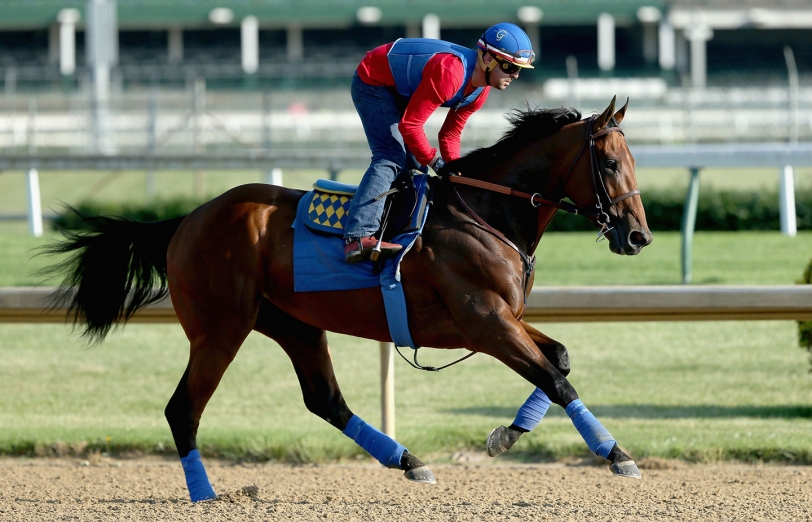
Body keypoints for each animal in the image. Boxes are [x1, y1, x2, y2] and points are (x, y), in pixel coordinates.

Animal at [41, 96, 652, 500]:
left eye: (633, 162)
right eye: (610, 163)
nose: (638, 236)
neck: (486, 212)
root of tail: (186, 219)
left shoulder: (504, 319)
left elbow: (559, 360)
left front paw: (507, 434)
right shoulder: (484, 321)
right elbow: (556, 378)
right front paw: (616, 454)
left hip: (292, 323)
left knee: (325, 400)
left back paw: (408, 460)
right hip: (219, 328)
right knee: (182, 408)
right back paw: (204, 494)